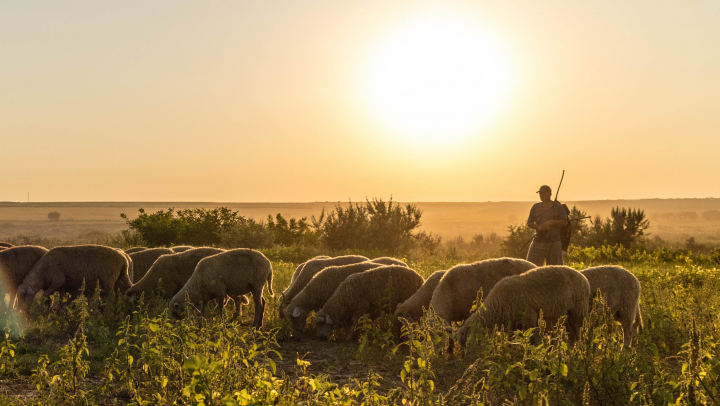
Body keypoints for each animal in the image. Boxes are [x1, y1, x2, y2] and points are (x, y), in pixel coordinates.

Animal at [462, 264, 592, 348]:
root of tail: (583, 276)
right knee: (572, 333)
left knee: (578, 331)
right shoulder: (512, 326)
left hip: (578, 310)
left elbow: (533, 339)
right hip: (566, 315)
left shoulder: (530, 319)